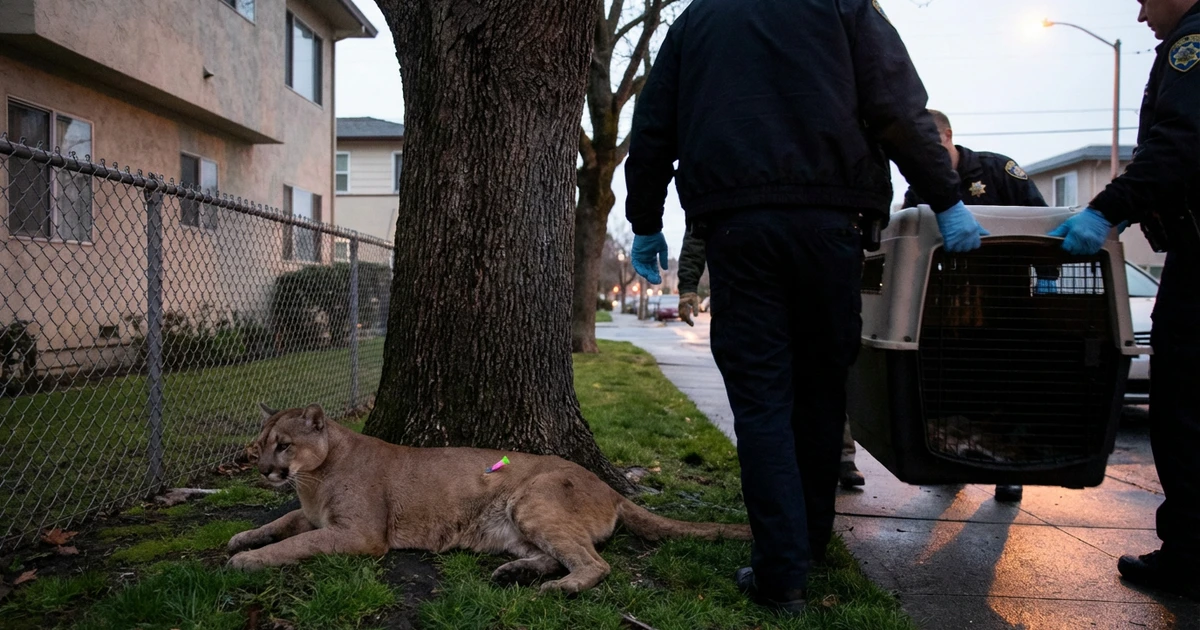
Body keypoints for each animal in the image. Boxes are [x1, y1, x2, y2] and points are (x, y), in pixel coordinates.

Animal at [227, 404, 752, 593]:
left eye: (284, 445)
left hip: (533, 501)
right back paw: (514, 572)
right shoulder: (313, 514)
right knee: (557, 554)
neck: (312, 479)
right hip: (515, 524)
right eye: (261, 443)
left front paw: (247, 561)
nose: (263, 469)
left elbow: (297, 543)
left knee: (595, 562)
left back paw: (558, 589)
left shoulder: (358, 533)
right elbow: (282, 524)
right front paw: (242, 538)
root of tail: (606, 485)